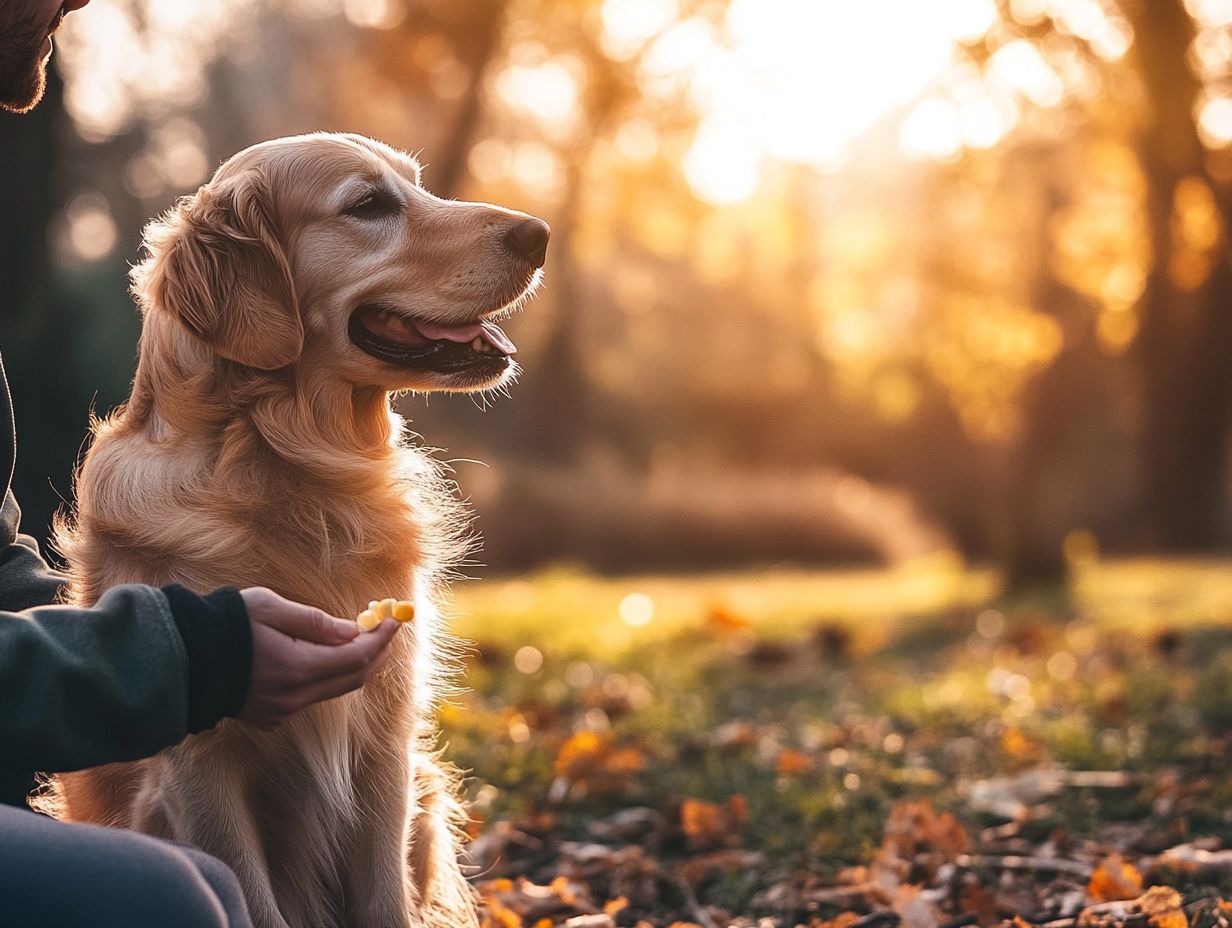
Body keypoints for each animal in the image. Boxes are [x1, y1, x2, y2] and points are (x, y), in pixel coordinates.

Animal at [50, 130, 547, 926]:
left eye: (418, 185)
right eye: (368, 205)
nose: (540, 235)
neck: (290, 468)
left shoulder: (384, 743)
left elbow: (385, 900)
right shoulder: (200, 771)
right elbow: (252, 898)